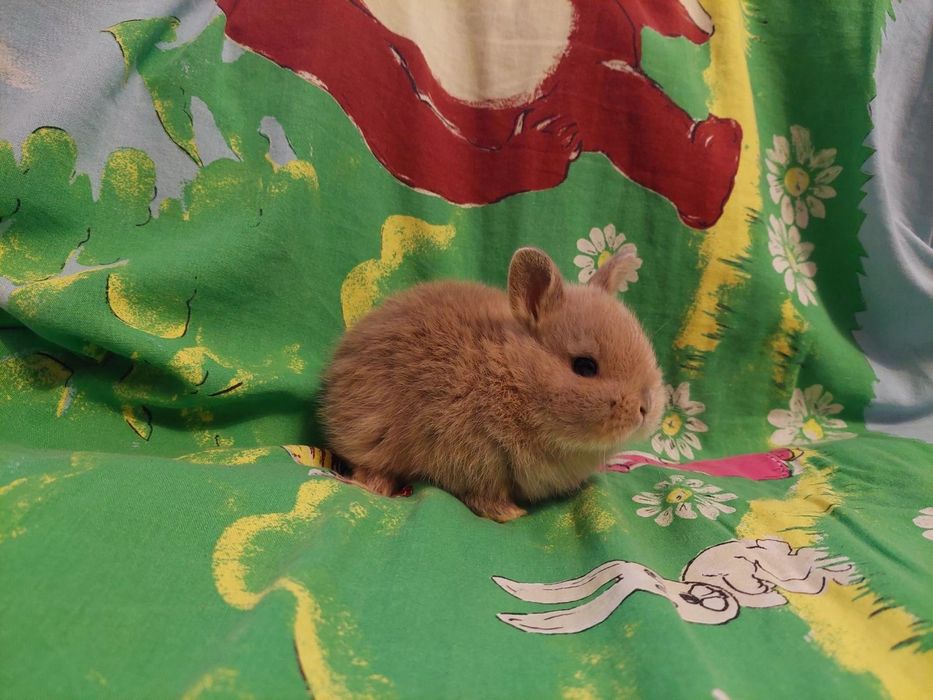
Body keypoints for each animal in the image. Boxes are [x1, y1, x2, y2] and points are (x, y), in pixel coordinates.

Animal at [321, 247, 664, 522]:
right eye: (584, 367)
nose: (645, 409)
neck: (513, 375)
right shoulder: (475, 459)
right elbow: (485, 495)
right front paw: (510, 514)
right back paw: (377, 486)